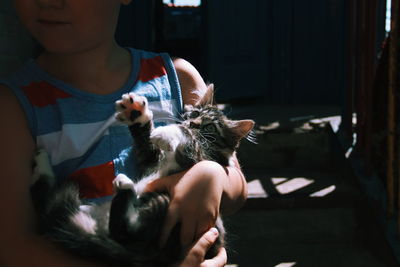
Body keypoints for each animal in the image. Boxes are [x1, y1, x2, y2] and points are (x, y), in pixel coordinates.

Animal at [32, 85, 256, 267]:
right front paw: (136, 114)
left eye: (209, 126)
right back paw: (42, 163)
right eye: (195, 112)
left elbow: (188, 138)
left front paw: (169, 131)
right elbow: (145, 138)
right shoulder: (148, 159)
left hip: (165, 231)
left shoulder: (197, 159)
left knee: (126, 232)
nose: (193, 122)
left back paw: (127, 188)